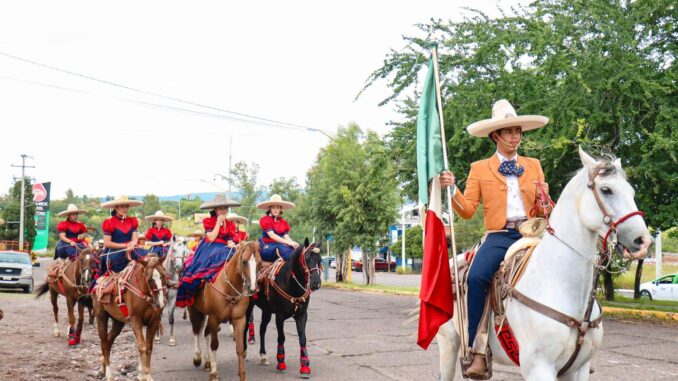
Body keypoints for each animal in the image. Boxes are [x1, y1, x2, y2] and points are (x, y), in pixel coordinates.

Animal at [190, 240, 262, 380]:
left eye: (259, 262)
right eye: (244, 261)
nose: (252, 288)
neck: (228, 288)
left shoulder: (239, 319)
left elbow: (240, 347)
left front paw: (242, 375)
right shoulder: (214, 318)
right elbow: (214, 344)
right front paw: (214, 373)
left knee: (205, 333)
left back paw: (207, 361)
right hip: (194, 309)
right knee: (196, 330)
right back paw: (197, 358)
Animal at [246, 238, 322, 378]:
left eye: (319, 259)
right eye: (307, 258)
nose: (316, 282)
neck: (291, 284)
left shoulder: (302, 315)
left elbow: (302, 338)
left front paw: (305, 366)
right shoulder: (280, 316)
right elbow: (281, 337)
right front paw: (281, 362)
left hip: (266, 310)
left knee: (262, 329)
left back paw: (263, 355)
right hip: (248, 307)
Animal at [438, 148, 656, 380]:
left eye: (631, 192)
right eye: (606, 190)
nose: (643, 242)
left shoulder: (578, 368)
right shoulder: (539, 368)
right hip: (448, 343)